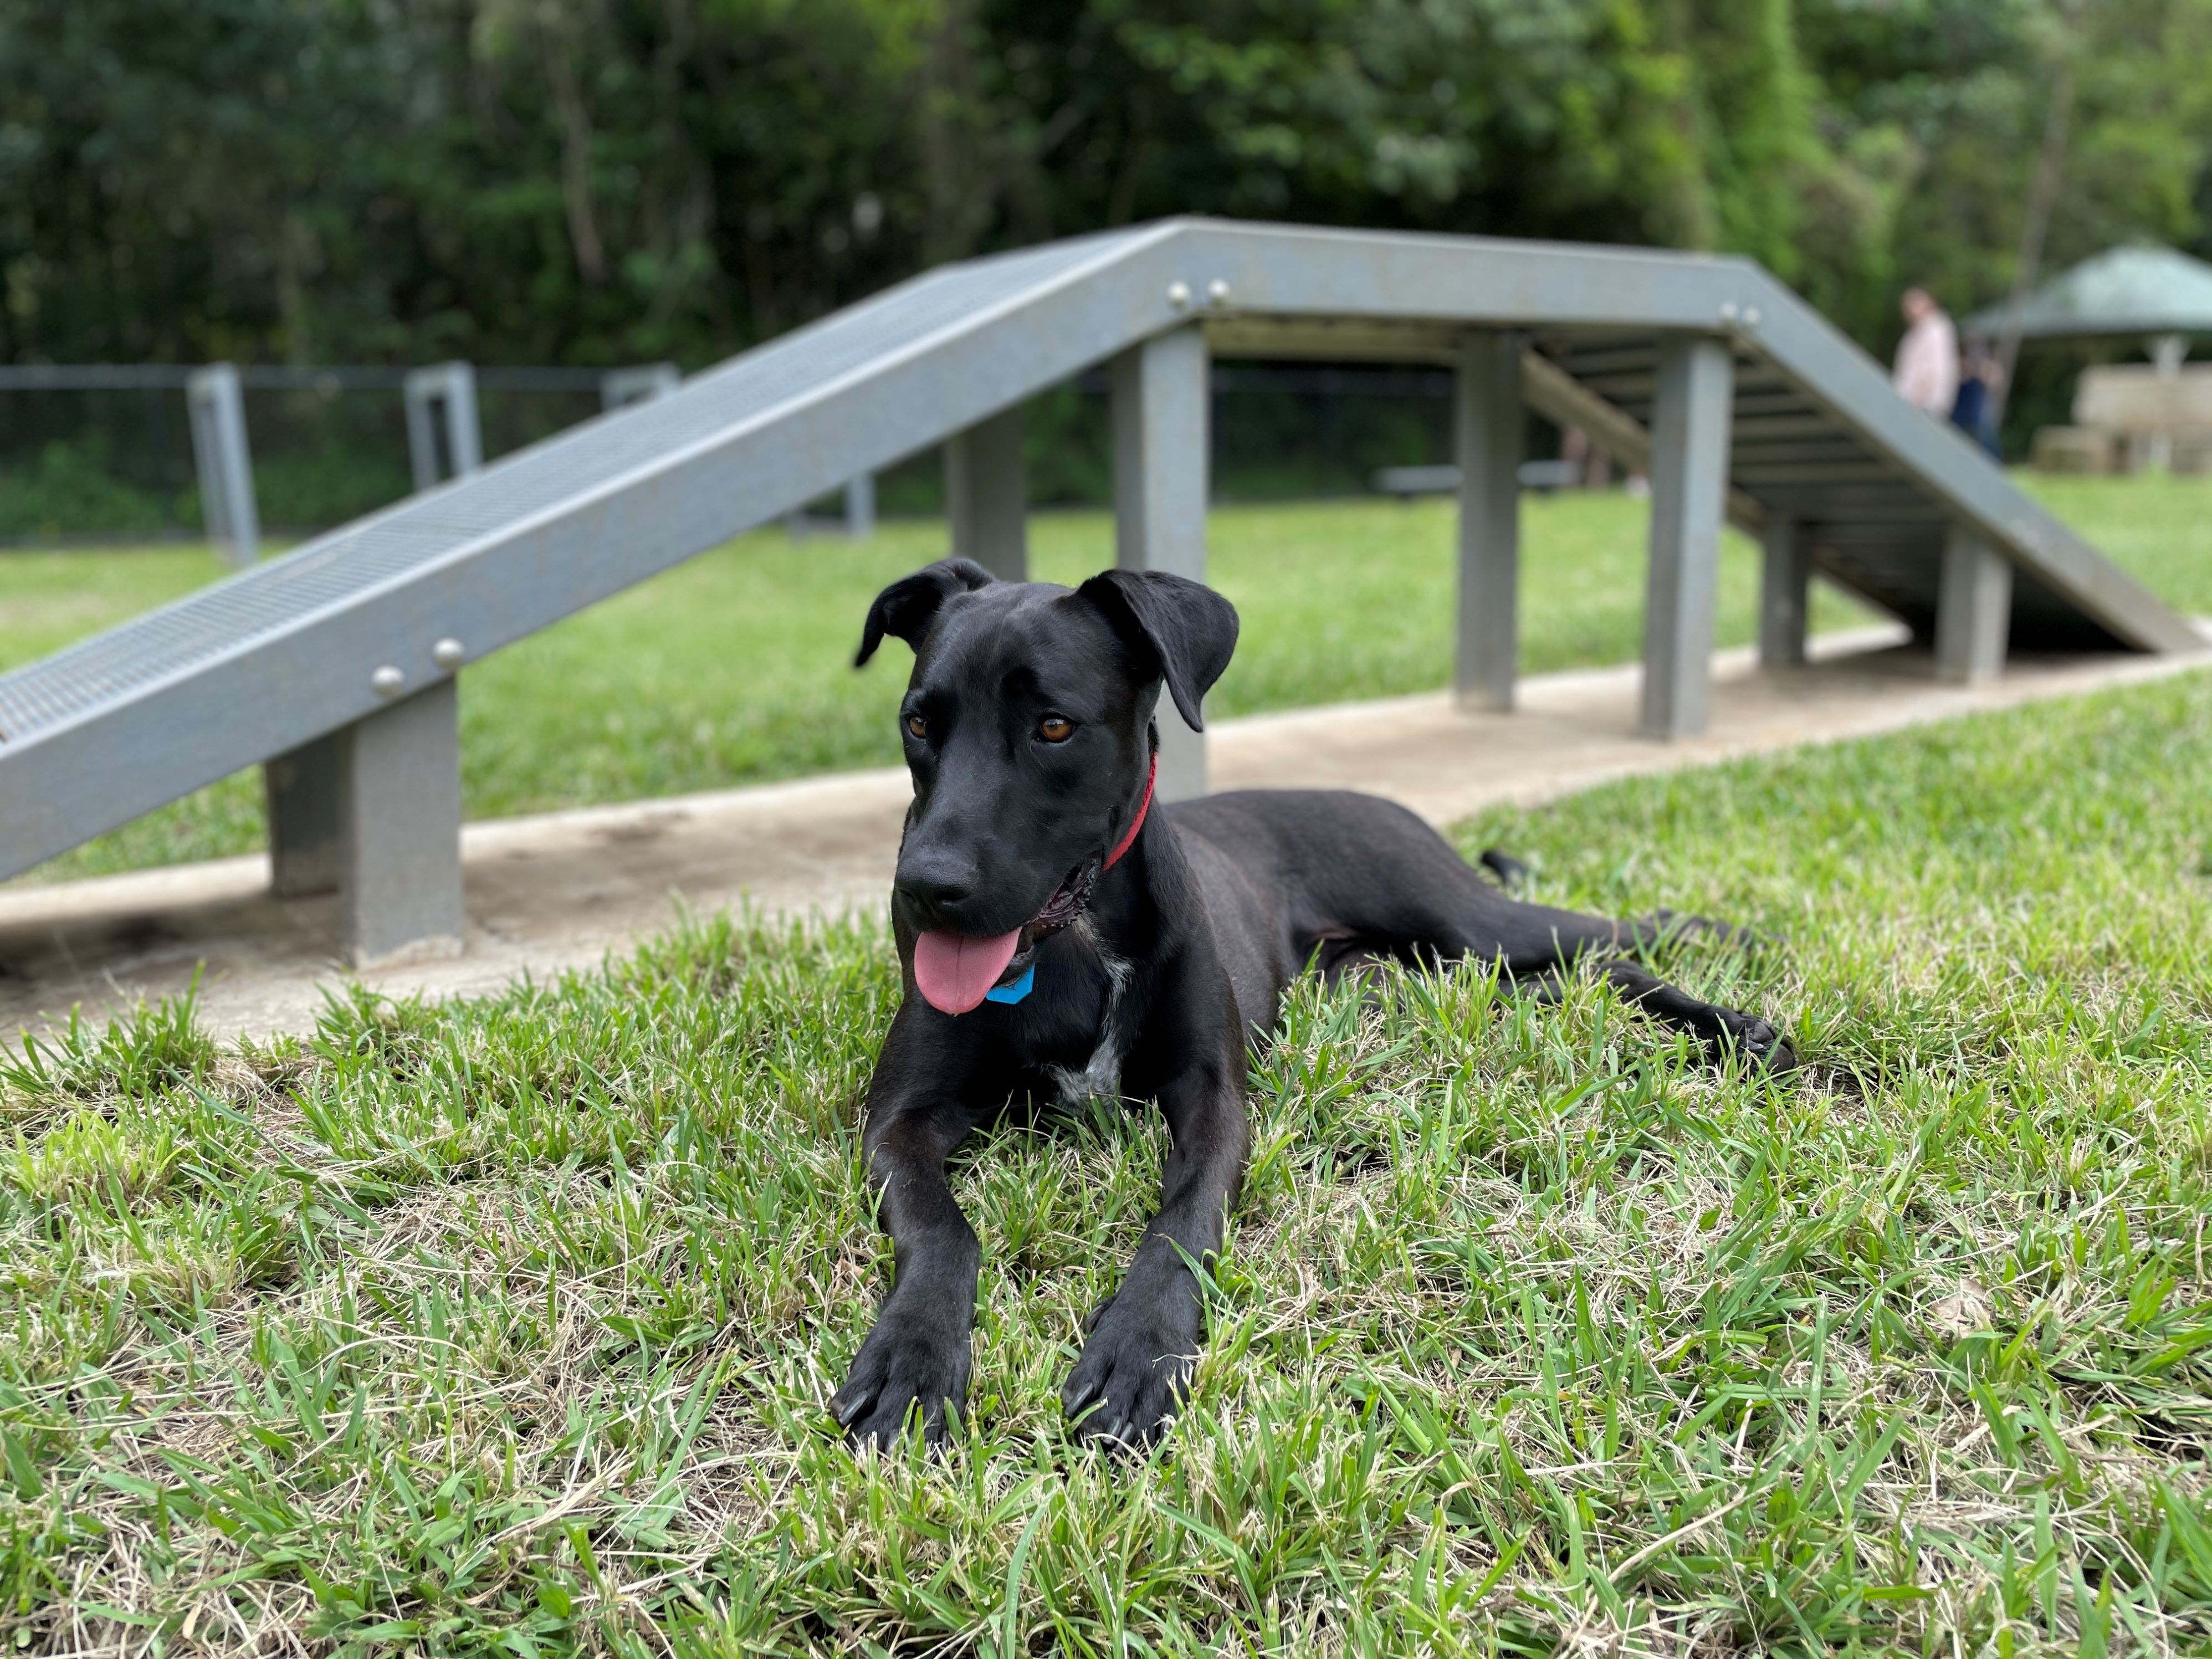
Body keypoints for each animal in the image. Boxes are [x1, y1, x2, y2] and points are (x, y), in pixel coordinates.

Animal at [831, 559, 1796, 1451]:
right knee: (1569, 981)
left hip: (1465, 918)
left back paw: (1740, 999)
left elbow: (1183, 1219)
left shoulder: (1214, 1098)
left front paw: (1140, 1345)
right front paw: (911, 1354)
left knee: (1619, 944)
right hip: (1421, 974)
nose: (925, 888)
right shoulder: (900, 1120)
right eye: (920, 722)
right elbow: (942, 1225)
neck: (1079, 942)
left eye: (1055, 727)